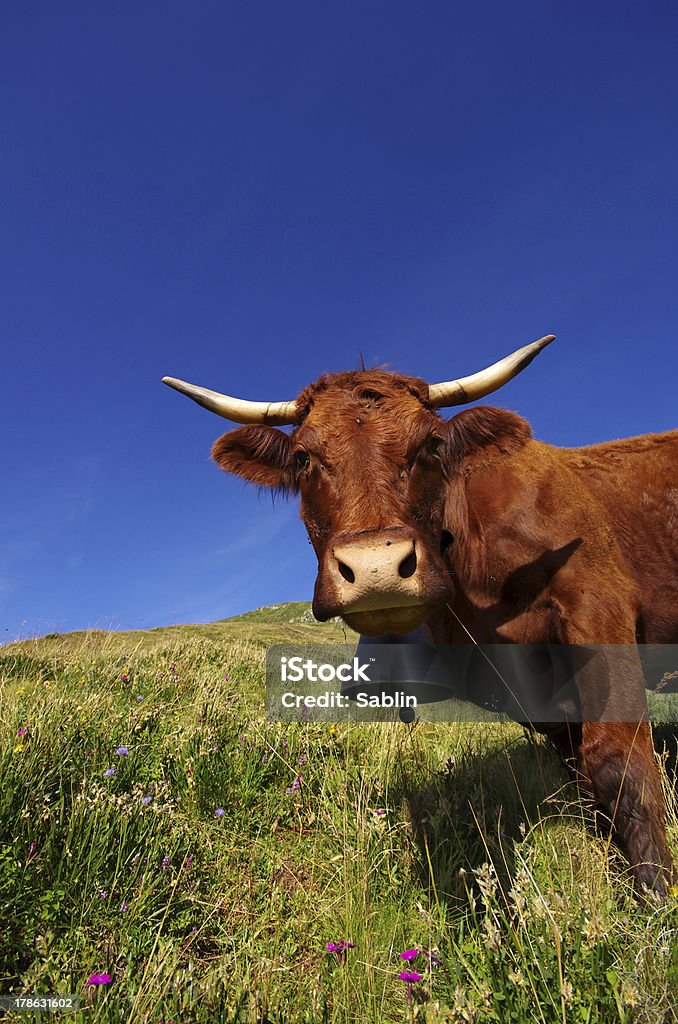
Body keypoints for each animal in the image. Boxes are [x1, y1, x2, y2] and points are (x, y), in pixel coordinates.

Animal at [164, 337, 678, 897]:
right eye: (302, 457)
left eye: (431, 445)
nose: (376, 569)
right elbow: (585, 780)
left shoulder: (599, 608)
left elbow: (618, 765)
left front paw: (653, 898)